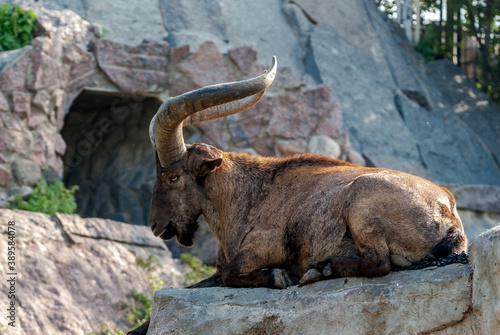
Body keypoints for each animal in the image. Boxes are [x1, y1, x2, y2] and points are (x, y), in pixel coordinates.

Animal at [146, 55, 466, 288]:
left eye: (173, 177)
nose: (155, 225)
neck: (246, 197)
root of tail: (448, 213)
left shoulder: (265, 248)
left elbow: (231, 274)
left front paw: (279, 276)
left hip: (361, 204)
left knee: (379, 263)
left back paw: (320, 269)